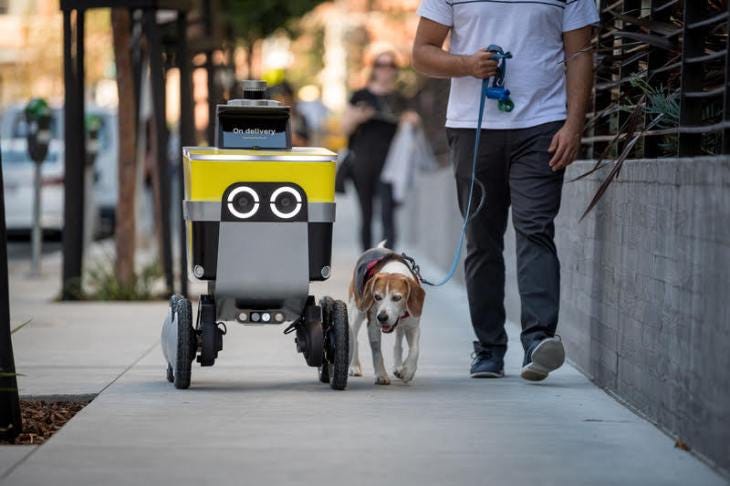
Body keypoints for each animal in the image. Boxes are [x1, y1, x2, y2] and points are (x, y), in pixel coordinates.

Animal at [348, 243, 426, 384]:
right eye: (377, 297)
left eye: (396, 298)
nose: (382, 317)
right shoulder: (373, 325)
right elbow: (376, 351)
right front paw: (381, 375)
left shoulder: (413, 326)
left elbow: (415, 349)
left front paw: (408, 371)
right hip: (357, 311)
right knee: (354, 338)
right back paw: (354, 366)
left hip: (402, 324)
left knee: (398, 342)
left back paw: (398, 366)